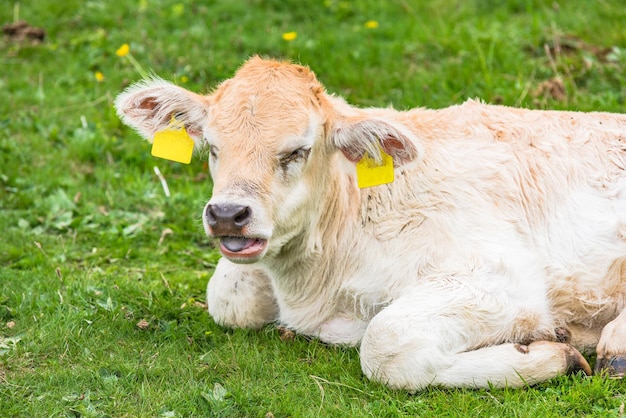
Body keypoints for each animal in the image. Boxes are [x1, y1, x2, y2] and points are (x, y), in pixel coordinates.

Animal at [114, 57, 624, 390]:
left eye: (297, 150)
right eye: (215, 147)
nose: (226, 214)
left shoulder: (500, 275)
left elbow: (384, 344)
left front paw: (548, 353)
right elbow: (227, 297)